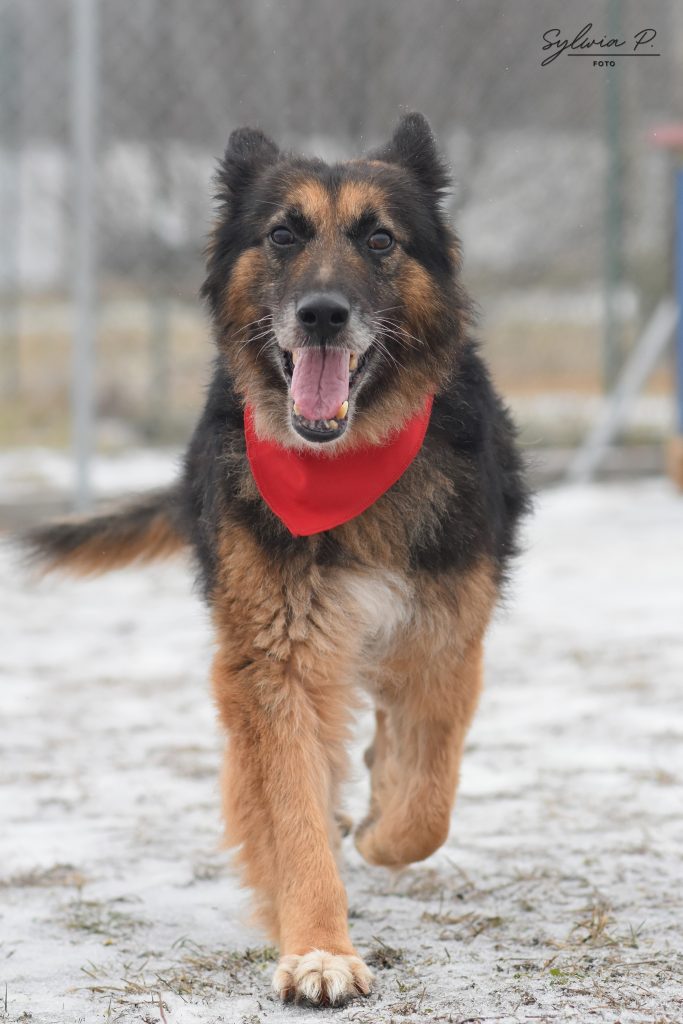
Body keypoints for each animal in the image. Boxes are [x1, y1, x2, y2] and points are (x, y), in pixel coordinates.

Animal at [25, 113, 529, 1006]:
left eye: (379, 238)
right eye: (283, 235)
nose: (322, 315)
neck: (348, 457)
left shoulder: (443, 633)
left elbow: (423, 800)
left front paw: (380, 823)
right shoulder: (277, 653)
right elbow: (292, 808)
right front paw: (320, 947)